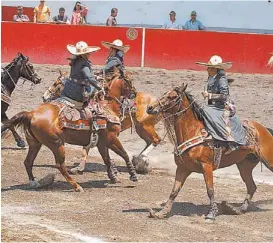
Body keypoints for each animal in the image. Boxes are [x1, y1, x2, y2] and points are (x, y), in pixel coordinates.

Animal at [1, 96, 138, 191]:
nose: (135, 105)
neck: (108, 110)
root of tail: (31, 114)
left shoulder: (102, 144)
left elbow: (107, 160)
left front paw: (113, 177)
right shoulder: (112, 139)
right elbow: (124, 155)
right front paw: (133, 175)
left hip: (35, 144)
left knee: (28, 162)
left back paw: (34, 183)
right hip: (57, 144)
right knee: (60, 165)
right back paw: (76, 186)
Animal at [147, 84, 272, 222]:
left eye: (173, 97)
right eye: (164, 93)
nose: (150, 107)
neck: (194, 132)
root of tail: (263, 129)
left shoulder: (206, 166)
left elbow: (210, 190)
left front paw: (211, 213)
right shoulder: (182, 168)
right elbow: (174, 191)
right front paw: (161, 213)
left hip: (268, 161)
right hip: (244, 166)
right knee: (251, 186)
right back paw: (238, 209)